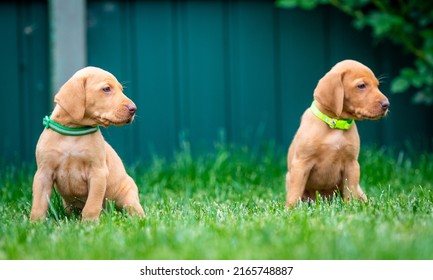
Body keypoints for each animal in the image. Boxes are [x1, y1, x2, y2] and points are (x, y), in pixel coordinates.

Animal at [30, 66, 145, 221]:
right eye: (107, 89)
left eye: (121, 90)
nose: (134, 109)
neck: (73, 132)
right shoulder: (43, 173)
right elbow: (38, 204)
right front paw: (35, 223)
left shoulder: (98, 173)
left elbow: (92, 205)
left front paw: (89, 223)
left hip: (127, 195)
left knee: (134, 209)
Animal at [286, 59, 390, 207]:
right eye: (361, 86)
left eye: (377, 85)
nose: (387, 104)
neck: (335, 125)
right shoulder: (301, 164)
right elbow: (294, 194)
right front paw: (290, 209)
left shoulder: (352, 165)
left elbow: (350, 191)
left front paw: (350, 207)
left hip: (359, 190)